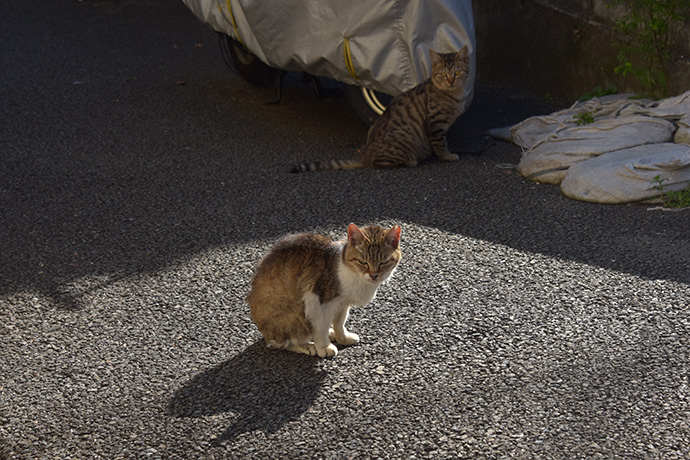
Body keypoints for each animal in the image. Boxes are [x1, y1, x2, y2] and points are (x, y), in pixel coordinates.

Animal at [246, 222, 400, 356]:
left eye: (384, 262)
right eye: (363, 262)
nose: (374, 275)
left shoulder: (342, 304)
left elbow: (339, 323)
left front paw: (342, 337)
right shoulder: (318, 301)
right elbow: (320, 329)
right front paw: (324, 347)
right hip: (293, 318)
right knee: (283, 342)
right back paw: (308, 346)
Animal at [290, 45, 468, 172]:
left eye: (457, 73)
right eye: (443, 75)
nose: (451, 81)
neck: (454, 95)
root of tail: (365, 153)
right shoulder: (436, 123)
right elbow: (441, 143)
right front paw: (448, 156)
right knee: (378, 163)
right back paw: (410, 161)